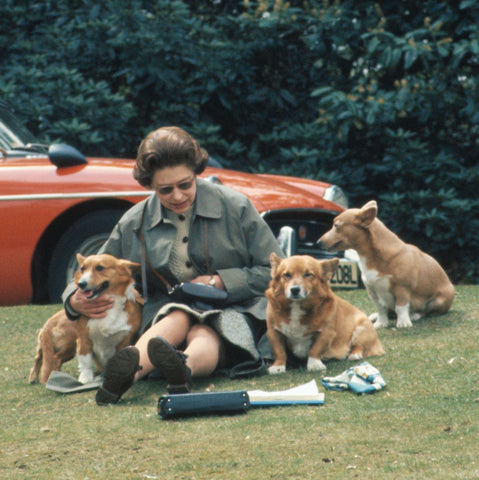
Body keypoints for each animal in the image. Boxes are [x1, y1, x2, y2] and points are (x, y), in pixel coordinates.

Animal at [28, 253, 142, 384]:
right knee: (55, 359)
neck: (109, 308)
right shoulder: (84, 339)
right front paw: (85, 379)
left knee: (39, 357)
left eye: (100, 268)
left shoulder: (125, 340)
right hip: (70, 345)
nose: (81, 284)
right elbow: (86, 362)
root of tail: (50, 323)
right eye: (82, 269)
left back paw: (34, 378)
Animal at [316, 201, 456, 328]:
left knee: (425, 311)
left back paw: (414, 315)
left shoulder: (402, 288)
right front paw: (380, 323)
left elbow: (401, 307)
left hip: (438, 301)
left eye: (336, 225)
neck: (372, 257)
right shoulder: (372, 290)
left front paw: (403, 323)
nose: (318, 242)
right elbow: (381, 308)